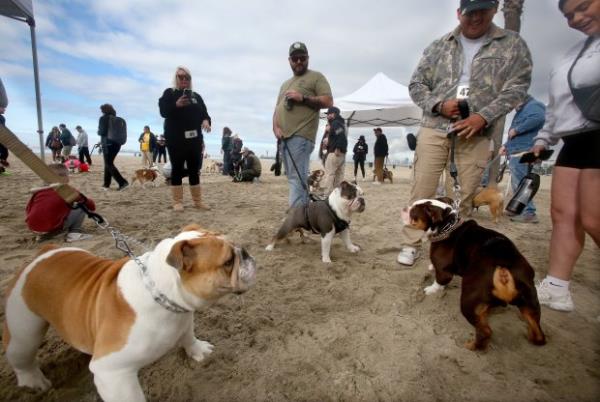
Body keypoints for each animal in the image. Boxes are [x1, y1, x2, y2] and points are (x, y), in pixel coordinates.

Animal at [2, 225, 256, 400]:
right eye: (228, 261)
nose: (245, 252)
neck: (161, 294)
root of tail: (43, 254)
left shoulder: (184, 319)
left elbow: (188, 335)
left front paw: (199, 350)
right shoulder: (112, 373)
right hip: (24, 329)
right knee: (22, 355)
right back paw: (34, 383)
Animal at [410, 199, 548, 350]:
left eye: (412, 213)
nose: (406, 208)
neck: (448, 224)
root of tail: (503, 268)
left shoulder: (443, 271)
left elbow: (439, 281)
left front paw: (430, 290)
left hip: (469, 300)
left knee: (485, 331)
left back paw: (472, 346)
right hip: (530, 299)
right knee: (538, 333)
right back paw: (530, 336)